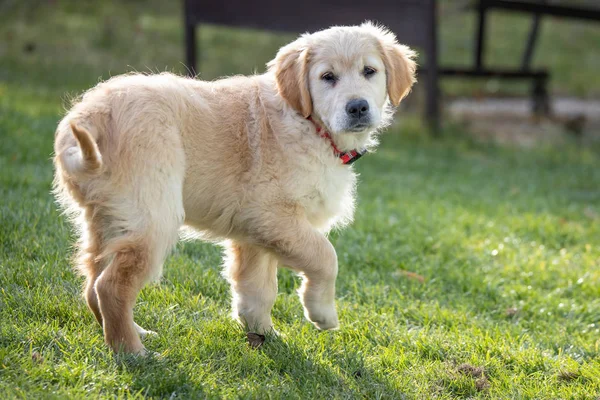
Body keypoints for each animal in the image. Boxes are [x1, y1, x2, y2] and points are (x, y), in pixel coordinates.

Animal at [54, 21, 414, 354]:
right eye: (328, 77)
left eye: (369, 71)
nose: (358, 107)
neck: (308, 122)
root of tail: (87, 118)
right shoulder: (271, 216)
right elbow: (326, 255)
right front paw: (321, 314)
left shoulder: (254, 234)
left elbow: (257, 289)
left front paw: (265, 334)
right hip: (152, 216)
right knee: (111, 286)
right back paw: (134, 353)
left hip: (109, 216)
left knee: (93, 281)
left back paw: (132, 333)